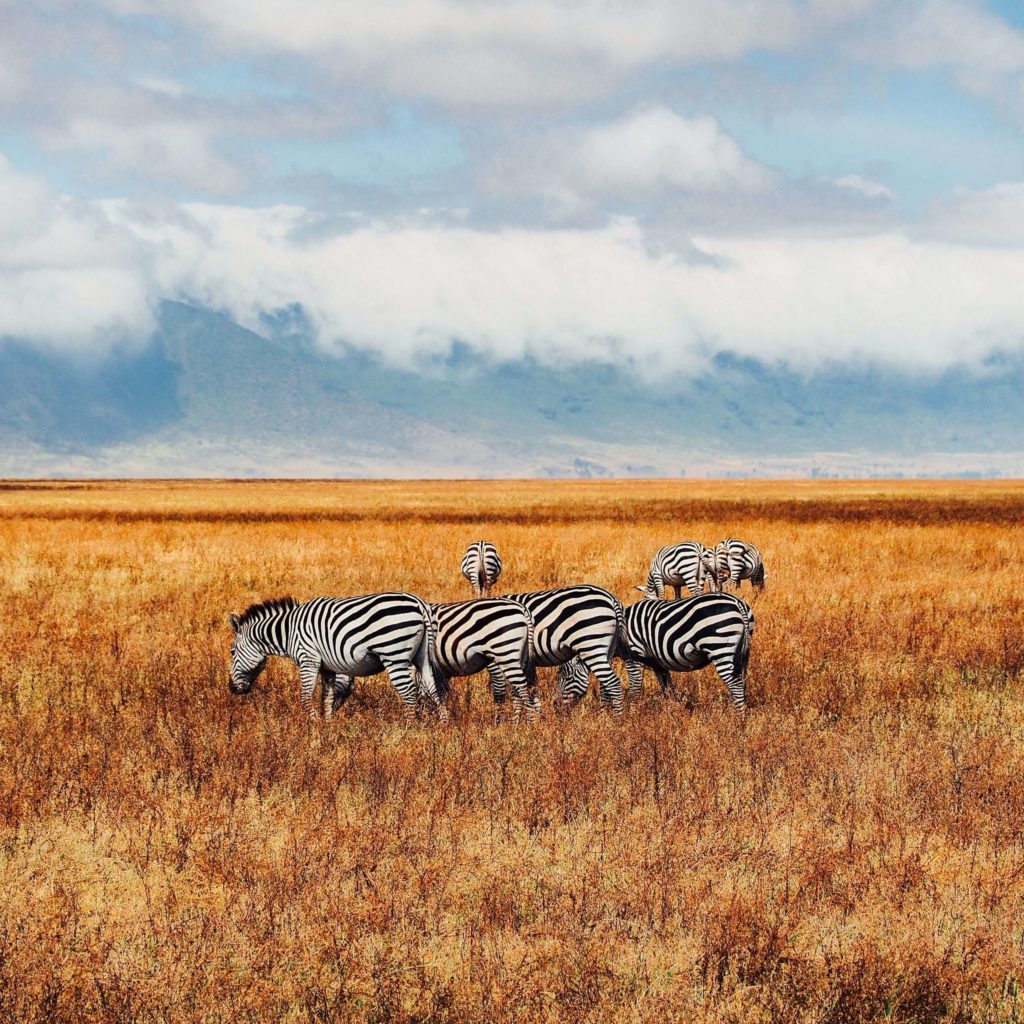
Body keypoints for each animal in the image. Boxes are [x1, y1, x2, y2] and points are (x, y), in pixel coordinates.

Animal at [227, 593, 440, 720]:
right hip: (422, 656)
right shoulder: (327, 668)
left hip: (394, 655)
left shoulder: (308, 660)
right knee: (433, 687)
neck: (289, 631)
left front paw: (313, 726)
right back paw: (441, 727)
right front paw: (327, 726)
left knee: (410, 693)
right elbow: (327, 698)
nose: (231, 688)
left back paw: (408, 729)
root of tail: (419, 603)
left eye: (232, 651)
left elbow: (305, 697)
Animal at [561, 593, 753, 712]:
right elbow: (668, 689)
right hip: (741, 653)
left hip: (720, 647)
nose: (558, 707)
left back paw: (739, 719)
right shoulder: (657, 663)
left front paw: (633, 715)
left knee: (735, 683)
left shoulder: (635, 658)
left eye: (565, 677)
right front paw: (673, 713)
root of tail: (737, 603)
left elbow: (635, 690)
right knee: (741, 682)